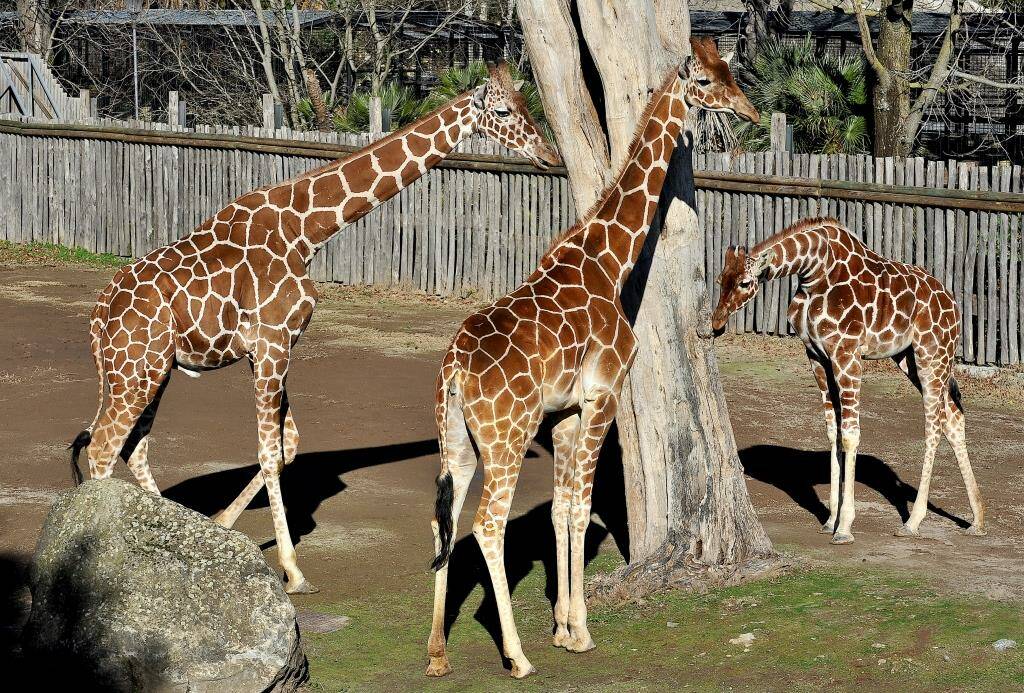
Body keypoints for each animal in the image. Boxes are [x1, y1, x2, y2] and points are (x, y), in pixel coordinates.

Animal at [69, 62, 565, 593]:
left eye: (525, 103)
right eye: (503, 111)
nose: (549, 156)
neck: (306, 230)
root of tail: (98, 318)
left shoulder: (271, 350)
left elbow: (288, 446)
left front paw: (221, 524)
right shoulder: (273, 343)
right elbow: (269, 452)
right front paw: (293, 570)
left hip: (149, 371)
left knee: (132, 448)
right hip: (136, 372)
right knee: (104, 448)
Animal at [423, 36, 761, 675]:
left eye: (731, 71)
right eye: (706, 81)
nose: (750, 112)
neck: (610, 259)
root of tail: (451, 368)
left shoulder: (562, 413)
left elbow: (560, 510)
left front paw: (561, 624)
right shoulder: (603, 393)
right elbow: (580, 509)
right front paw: (579, 631)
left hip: (456, 437)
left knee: (444, 519)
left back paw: (436, 655)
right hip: (506, 438)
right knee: (487, 526)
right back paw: (517, 657)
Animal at [712, 219, 983, 544]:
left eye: (743, 283)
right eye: (719, 280)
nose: (715, 325)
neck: (813, 271)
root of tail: (954, 305)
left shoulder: (847, 354)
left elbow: (850, 435)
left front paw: (844, 527)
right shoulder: (817, 356)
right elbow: (833, 432)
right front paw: (831, 518)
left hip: (932, 354)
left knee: (934, 426)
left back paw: (913, 522)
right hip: (908, 358)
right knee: (953, 418)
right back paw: (978, 519)